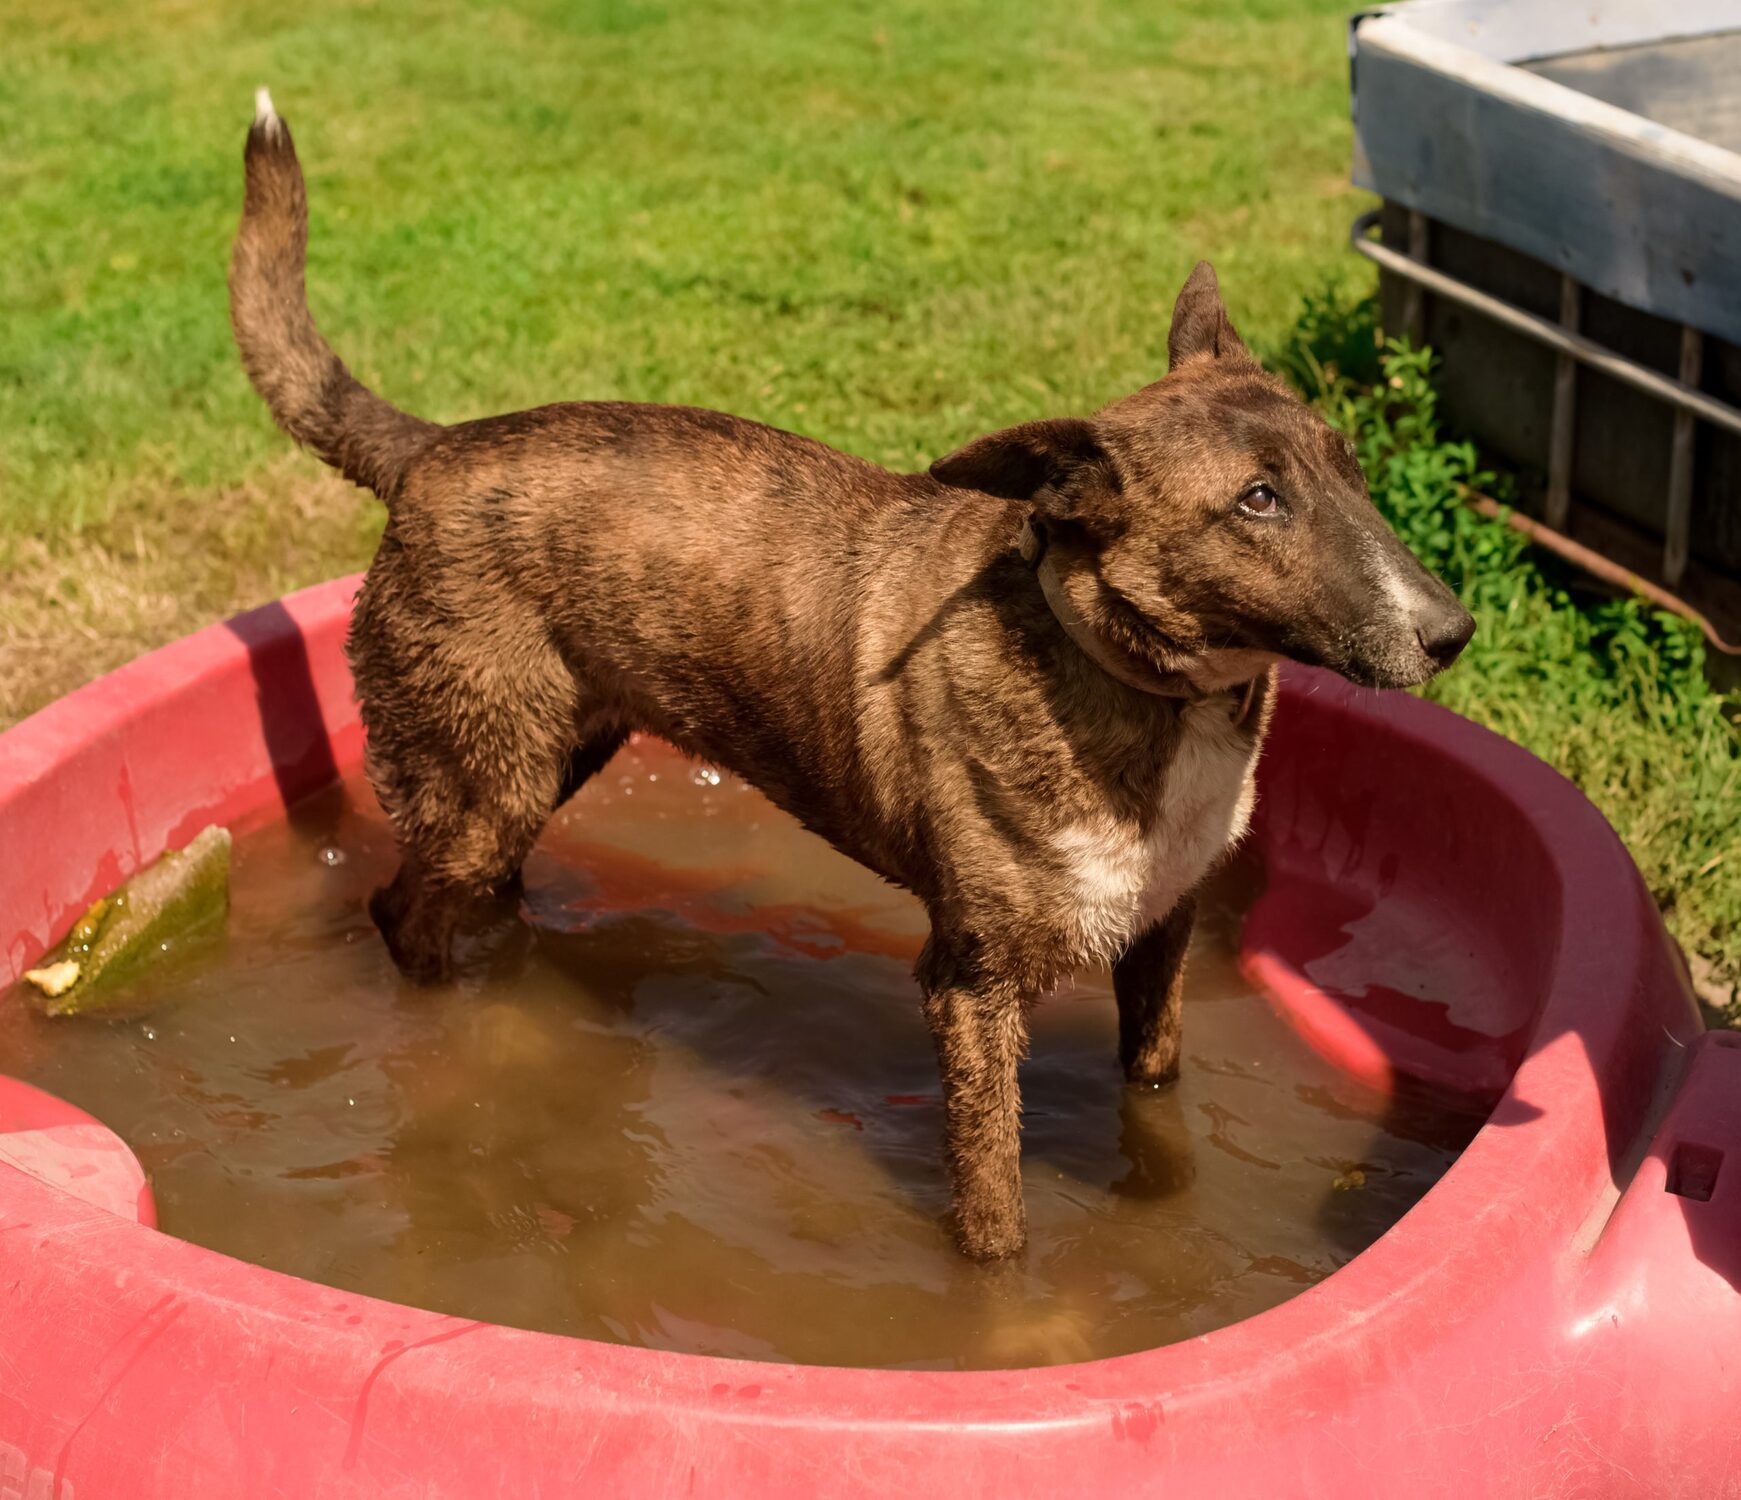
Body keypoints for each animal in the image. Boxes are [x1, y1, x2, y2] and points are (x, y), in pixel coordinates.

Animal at [228, 93, 1469, 1259]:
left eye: (1350, 468)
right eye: (1257, 500)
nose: (1449, 632)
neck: (1119, 673)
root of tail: (429, 450)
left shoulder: (1160, 930)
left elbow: (1155, 1102)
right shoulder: (971, 987)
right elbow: (994, 1223)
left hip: (550, 758)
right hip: (479, 782)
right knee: (404, 914)